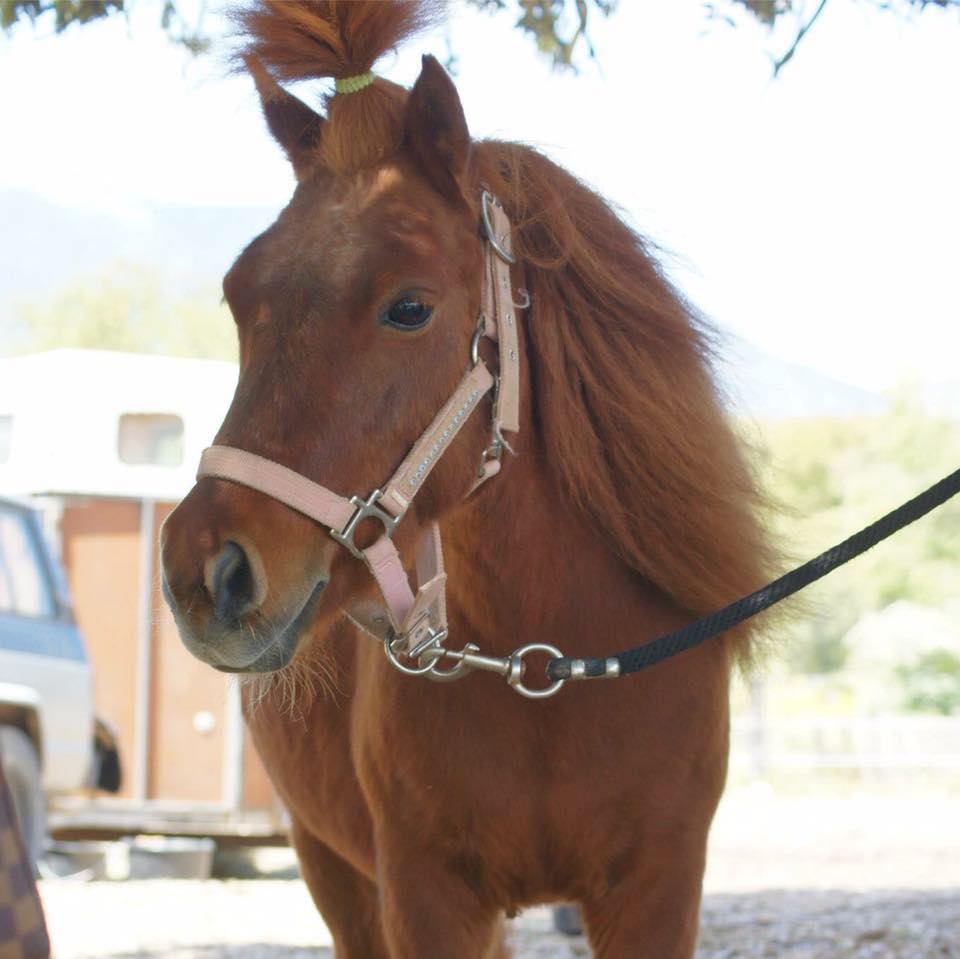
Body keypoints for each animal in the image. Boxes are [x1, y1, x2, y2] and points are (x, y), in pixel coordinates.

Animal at [160, 2, 775, 956]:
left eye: (409, 307)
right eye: (238, 297)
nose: (203, 572)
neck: (553, 669)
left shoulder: (660, 890)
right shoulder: (423, 895)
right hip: (330, 867)